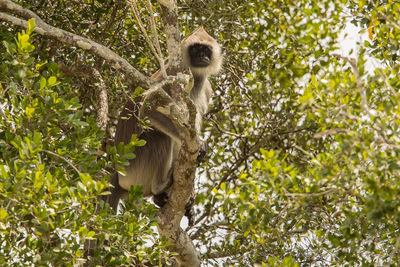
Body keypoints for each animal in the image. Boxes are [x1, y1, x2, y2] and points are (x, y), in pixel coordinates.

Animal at [106, 27, 223, 217]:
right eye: (195, 49)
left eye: (206, 50)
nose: (201, 57)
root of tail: (118, 173)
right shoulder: (174, 77)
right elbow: (148, 108)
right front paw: (198, 144)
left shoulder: (206, 89)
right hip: (135, 167)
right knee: (159, 136)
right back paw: (160, 186)